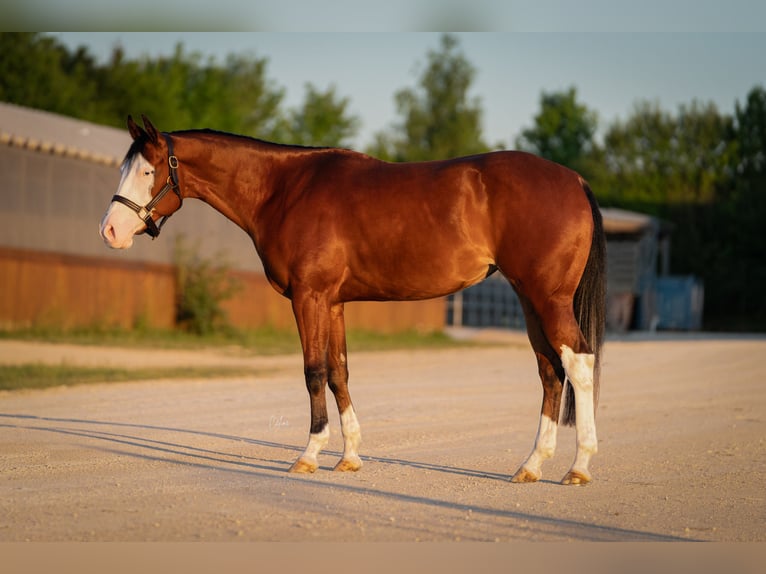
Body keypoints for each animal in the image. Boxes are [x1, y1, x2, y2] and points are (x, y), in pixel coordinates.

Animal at [99, 115, 606, 485]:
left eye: (147, 170)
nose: (110, 231)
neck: (284, 189)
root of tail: (575, 180)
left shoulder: (309, 297)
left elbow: (313, 372)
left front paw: (308, 455)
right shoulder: (334, 303)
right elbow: (339, 371)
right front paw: (350, 456)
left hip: (547, 298)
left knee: (578, 362)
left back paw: (579, 467)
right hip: (529, 299)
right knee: (549, 371)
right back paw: (532, 465)